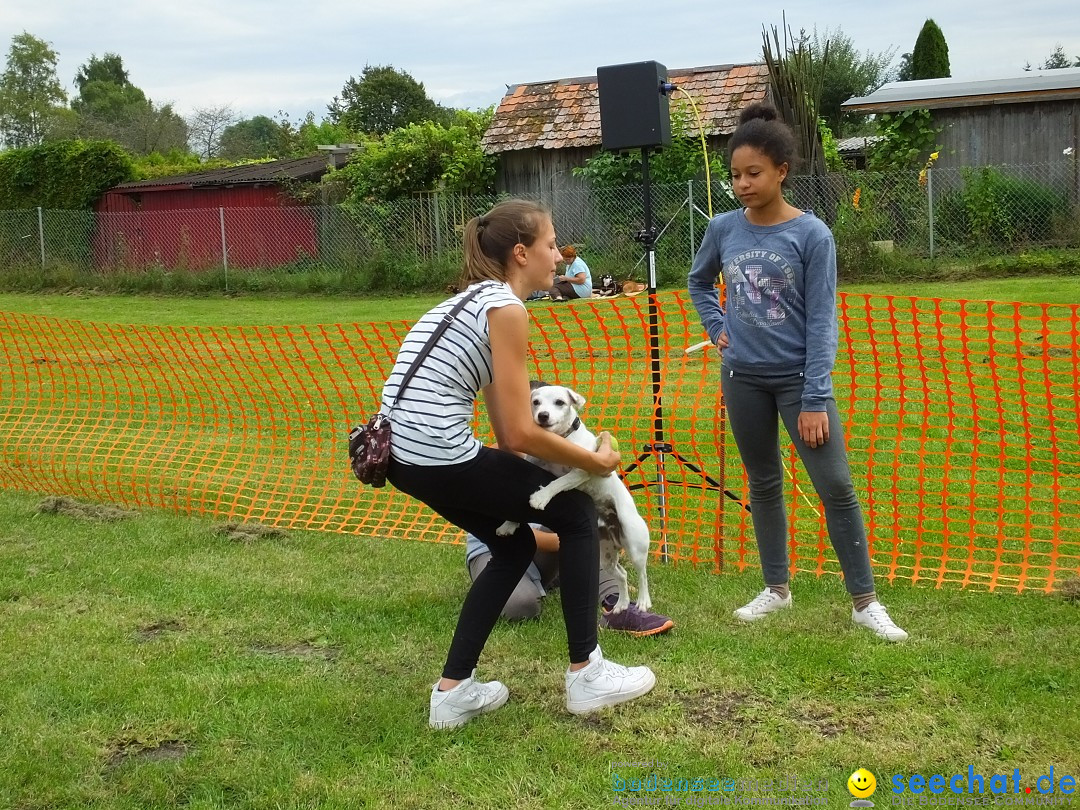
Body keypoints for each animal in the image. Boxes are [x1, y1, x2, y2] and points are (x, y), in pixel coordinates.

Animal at [494, 384, 648, 613]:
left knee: (642, 574)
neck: (560, 440)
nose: (543, 415)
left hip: (635, 543)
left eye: (560, 402)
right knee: (622, 574)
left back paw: (644, 601)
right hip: (606, 556)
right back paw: (621, 604)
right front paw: (508, 524)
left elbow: (557, 483)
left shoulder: (580, 471)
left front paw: (541, 497)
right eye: (535, 402)